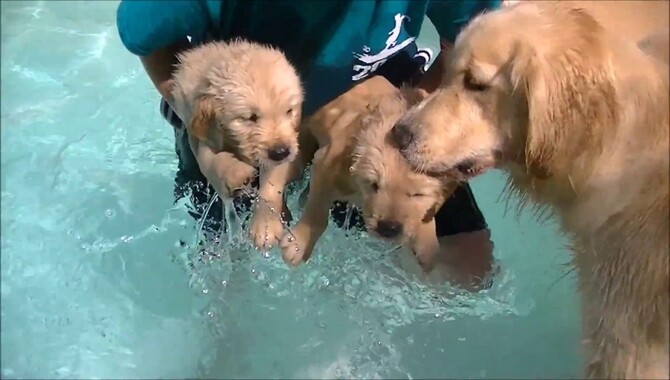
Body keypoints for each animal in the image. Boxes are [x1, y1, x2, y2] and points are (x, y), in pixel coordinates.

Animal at [171, 40, 304, 251]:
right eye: (250, 117)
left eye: (289, 111)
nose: (281, 151)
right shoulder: (195, 123)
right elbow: (209, 157)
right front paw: (234, 173)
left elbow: (271, 184)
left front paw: (265, 226)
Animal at [278, 77, 456, 272]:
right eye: (374, 185)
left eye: (417, 194)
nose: (388, 228)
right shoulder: (326, 164)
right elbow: (317, 212)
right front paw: (299, 244)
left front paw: (427, 245)